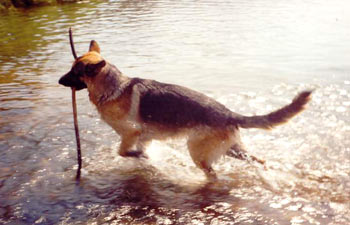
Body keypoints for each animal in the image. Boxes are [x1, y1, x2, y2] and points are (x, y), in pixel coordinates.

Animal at [58, 39, 314, 178]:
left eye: (74, 72)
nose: (59, 81)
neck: (114, 87)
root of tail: (229, 113)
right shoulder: (143, 137)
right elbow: (135, 151)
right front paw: (144, 158)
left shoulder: (131, 133)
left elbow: (124, 152)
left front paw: (143, 157)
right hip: (232, 150)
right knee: (258, 161)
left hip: (197, 152)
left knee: (213, 174)